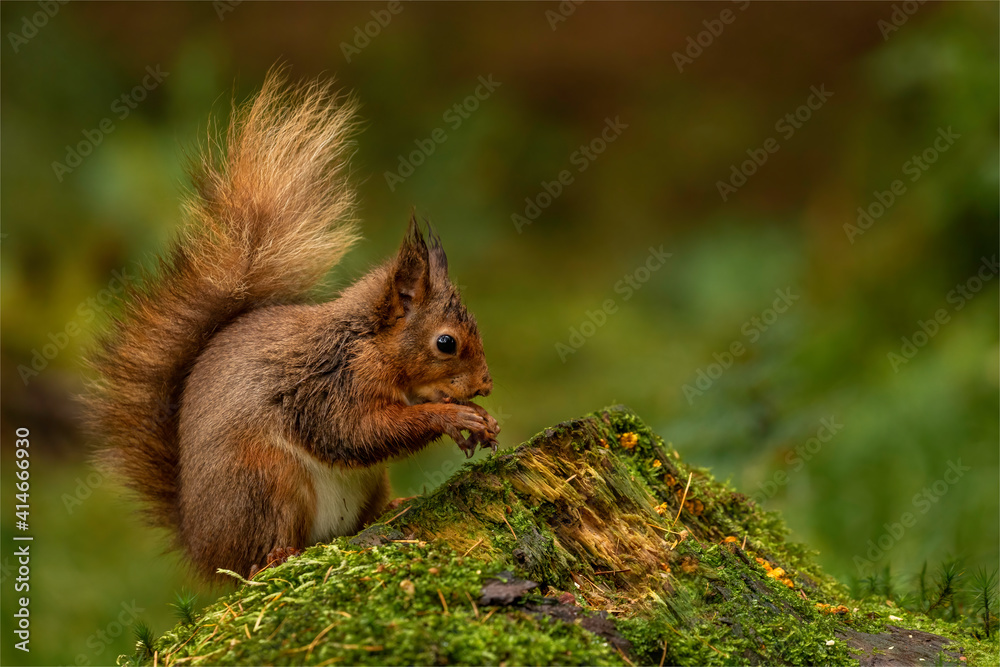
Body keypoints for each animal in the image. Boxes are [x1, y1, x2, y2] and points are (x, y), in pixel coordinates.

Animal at [85, 72, 499, 582]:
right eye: (446, 343)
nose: (485, 385)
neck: (368, 344)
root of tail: (202, 548)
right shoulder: (328, 387)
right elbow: (355, 433)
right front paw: (453, 417)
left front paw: (482, 422)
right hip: (265, 481)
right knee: (259, 556)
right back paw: (277, 556)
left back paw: (392, 507)